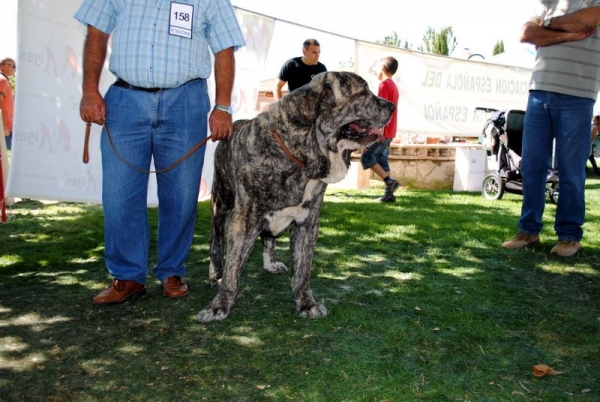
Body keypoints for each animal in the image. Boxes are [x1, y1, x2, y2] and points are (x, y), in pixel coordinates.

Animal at [197, 72, 394, 322]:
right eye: (362, 92)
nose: (392, 106)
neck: (299, 157)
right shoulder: (242, 221)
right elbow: (233, 267)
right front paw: (220, 304)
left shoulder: (307, 224)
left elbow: (302, 270)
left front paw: (306, 303)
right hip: (221, 205)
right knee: (216, 241)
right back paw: (215, 275)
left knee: (268, 238)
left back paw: (270, 264)